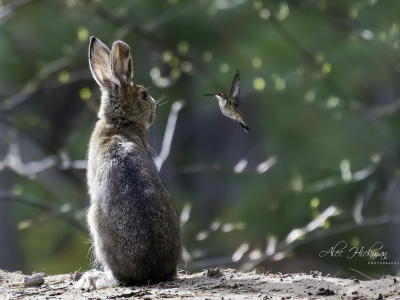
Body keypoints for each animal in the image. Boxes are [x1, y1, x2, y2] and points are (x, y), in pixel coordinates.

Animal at [75, 36, 181, 290]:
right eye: (143, 95)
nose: (153, 106)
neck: (119, 122)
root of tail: (152, 271)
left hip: (94, 222)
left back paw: (93, 279)